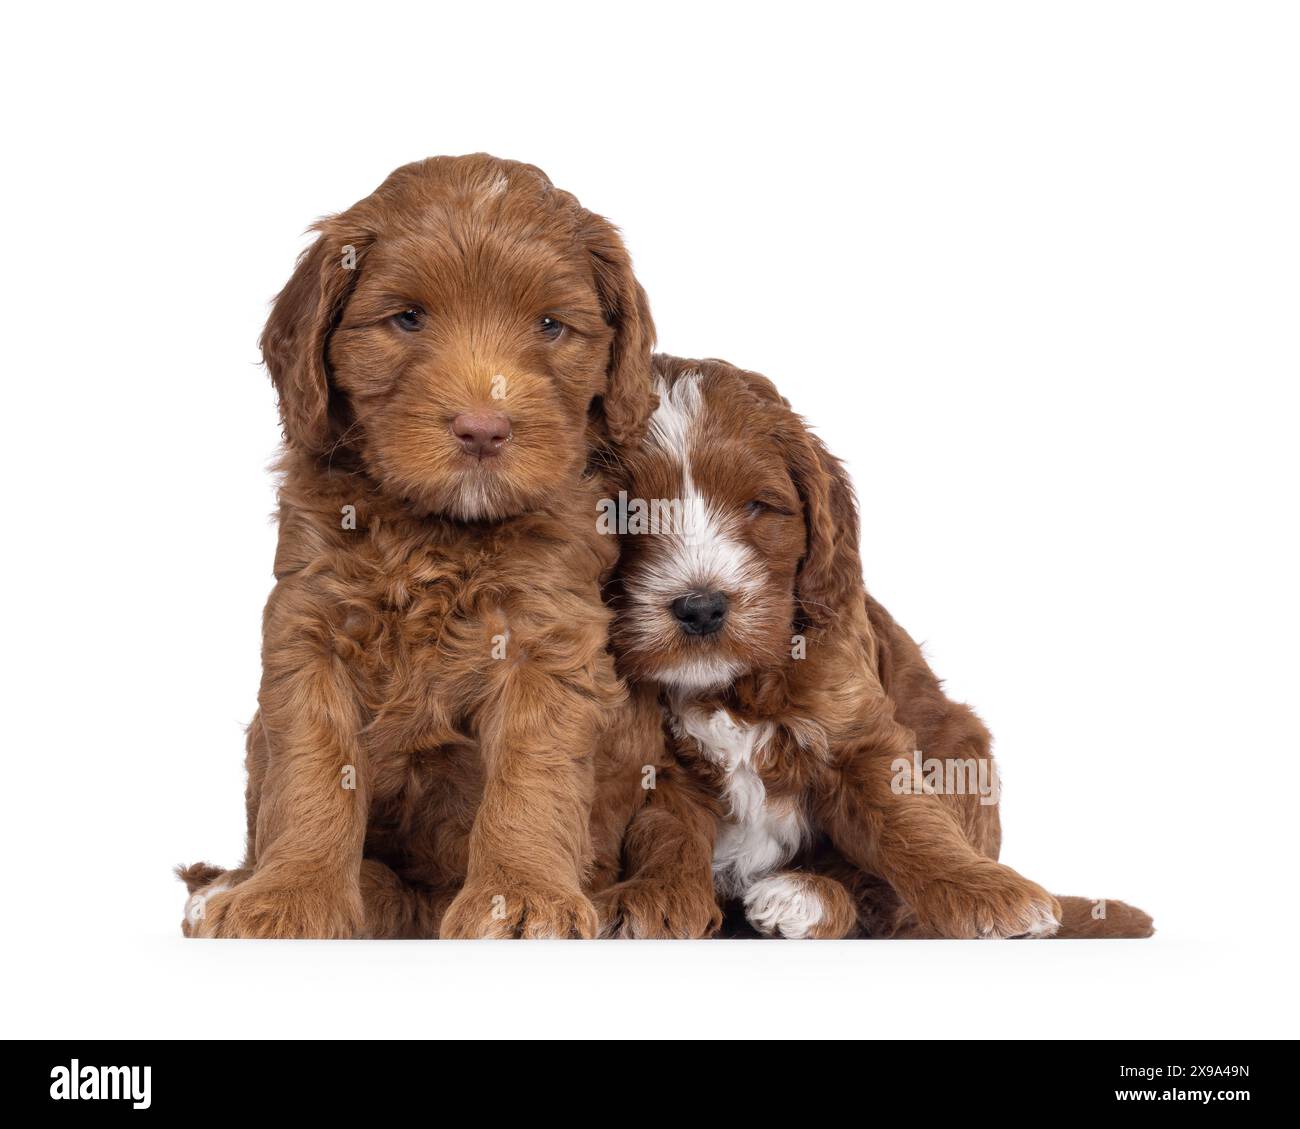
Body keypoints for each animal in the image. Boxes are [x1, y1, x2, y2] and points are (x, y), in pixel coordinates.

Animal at [178, 154, 655, 941]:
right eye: (407, 317)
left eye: (551, 325)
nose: (483, 427)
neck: (436, 530)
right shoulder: (310, 621)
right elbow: (312, 768)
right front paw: (292, 895)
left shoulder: (547, 633)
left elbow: (531, 772)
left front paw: (521, 895)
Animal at [595, 356, 1154, 941]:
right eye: (625, 512)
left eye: (757, 506)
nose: (702, 607)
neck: (728, 684)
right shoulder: (660, 765)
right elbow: (665, 832)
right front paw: (653, 898)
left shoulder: (857, 735)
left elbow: (907, 821)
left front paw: (989, 894)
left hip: (962, 745)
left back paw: (804, 897)